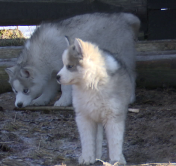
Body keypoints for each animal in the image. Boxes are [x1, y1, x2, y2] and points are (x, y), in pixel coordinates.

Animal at [5, 12, 140, 107]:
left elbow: (64, 88)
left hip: (122, 56)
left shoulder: (63, 69)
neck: (41, 53)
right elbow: (49, 89)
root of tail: (123, 17)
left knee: (131, 76)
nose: (18, 105)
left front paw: (63, 101)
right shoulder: (52, 74)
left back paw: (130, 97)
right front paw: (41, 100)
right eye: (15, 91)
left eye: (26, 90)